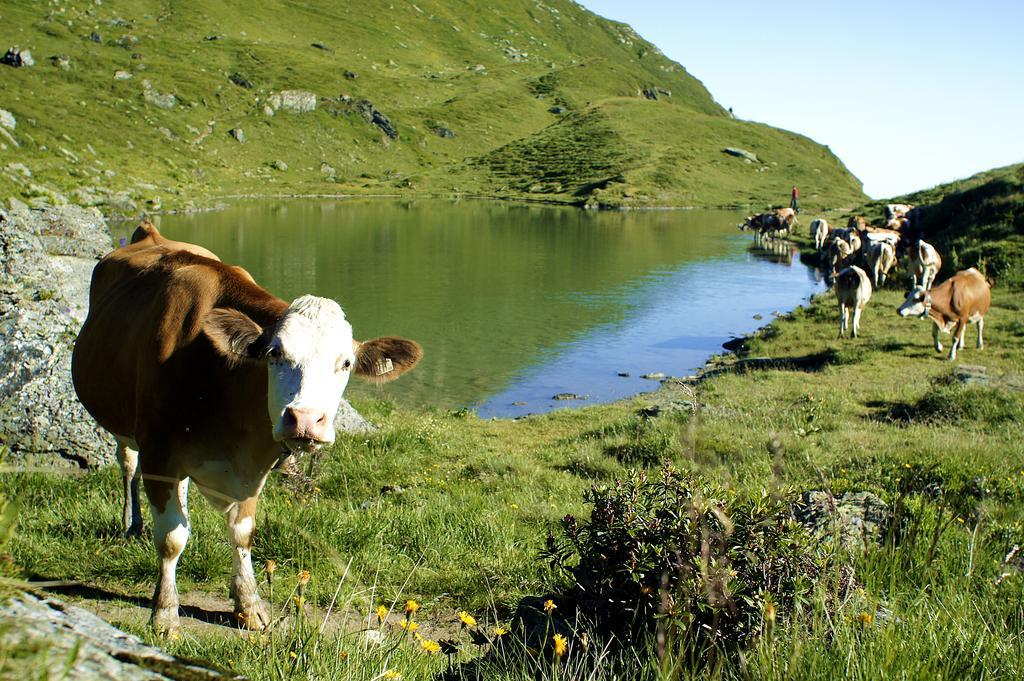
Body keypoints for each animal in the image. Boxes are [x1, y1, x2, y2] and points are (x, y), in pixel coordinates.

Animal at [72, 224, 421, 639]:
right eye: (274, 353)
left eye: (346, 363)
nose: (304, 420)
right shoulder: (159, 452)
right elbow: (171, 538)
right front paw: (165, 615)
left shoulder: (253, 465)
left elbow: (242, 532)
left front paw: (249, 605)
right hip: (121, 424)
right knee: (128, 464)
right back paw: (132, 523)